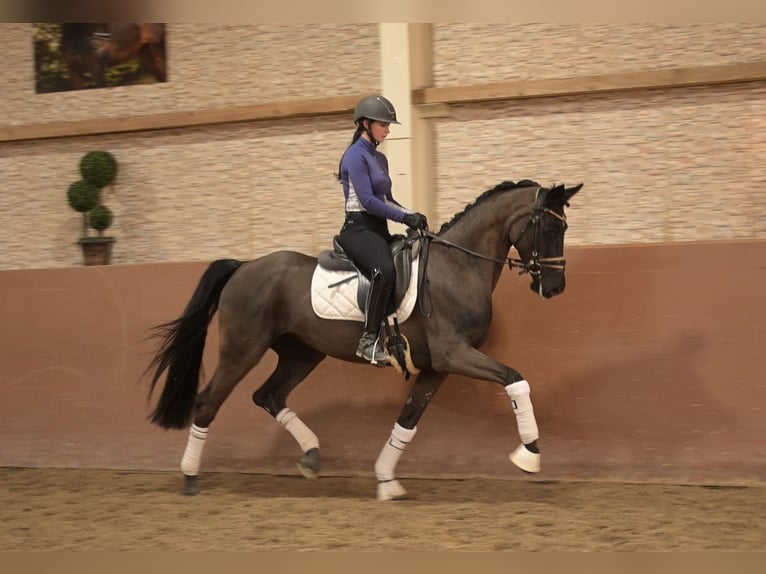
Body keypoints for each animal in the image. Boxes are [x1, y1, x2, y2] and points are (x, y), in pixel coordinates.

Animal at [146, 179, 582, 500]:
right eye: (550, 227)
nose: (556, 287)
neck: (458, 266)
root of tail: (244, 266)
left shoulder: (436, 367)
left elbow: (407, 421)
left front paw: (386, 480)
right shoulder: (454, 354)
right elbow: (515, 379)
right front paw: (529, 454)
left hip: (301, 354)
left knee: (268, 395)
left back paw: (311, 457)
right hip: (242, 350)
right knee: (208, 403)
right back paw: (190, 477)